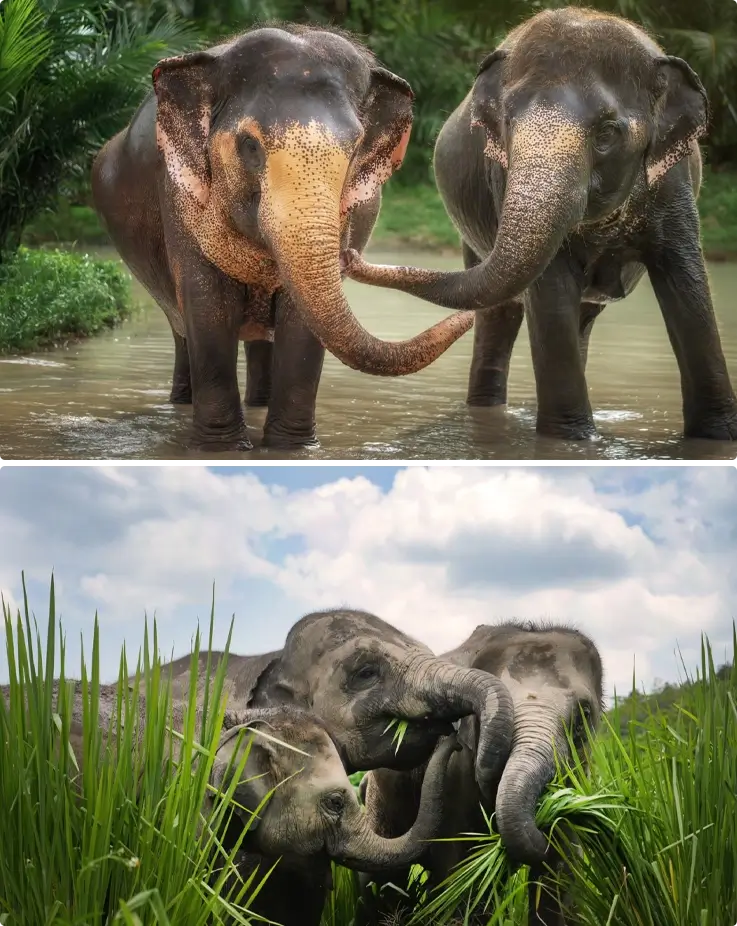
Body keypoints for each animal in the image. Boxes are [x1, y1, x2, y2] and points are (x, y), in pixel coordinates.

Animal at [91, 24, 474, 452]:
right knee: (181, 329)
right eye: (249, 144)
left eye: (356, 146)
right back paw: (181, 403)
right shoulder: (177, 195)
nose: (350, 257)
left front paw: (289, 449)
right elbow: (207, 309)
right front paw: (223, 449)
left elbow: (301, 322)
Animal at [343, 7, 737, 442]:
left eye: (607, 133)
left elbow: (687, 284)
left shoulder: (673, 184)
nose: (349, 255)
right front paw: (571, 441)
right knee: (499, 315)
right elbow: (550, 291)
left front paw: (716, 437)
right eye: (507, 124)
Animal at [356, 622, 604, 926]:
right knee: (382, 881)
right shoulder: (455, 781)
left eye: (584, 716)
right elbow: (460, 874)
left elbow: (561, 874)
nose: (449, 737)